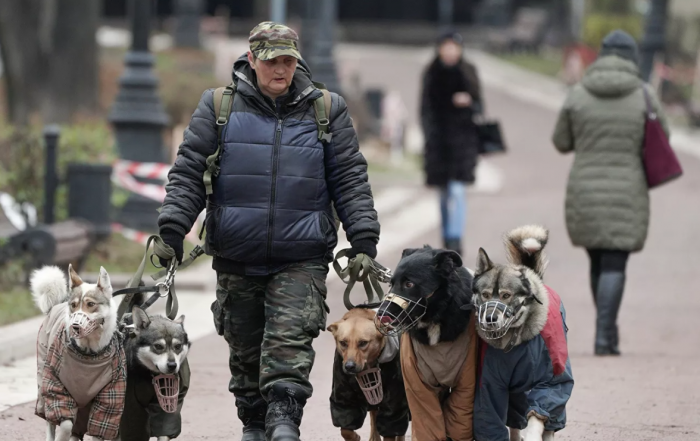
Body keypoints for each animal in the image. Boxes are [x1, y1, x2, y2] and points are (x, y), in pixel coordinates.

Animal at [31, 264, 124, 440]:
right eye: (73, 305)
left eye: (91, 304)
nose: (75, 326)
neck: (88, 354)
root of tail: (54, 306)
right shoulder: (56, 385)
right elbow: (65, 423)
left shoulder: (110, 395)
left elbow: (99, 428)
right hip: (43, 379)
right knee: (50, 421)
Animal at [328, 308, 410, 440]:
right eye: (343, 343)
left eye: (363, 343)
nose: (349, 366)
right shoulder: (344, 399)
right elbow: (345, 430)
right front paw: (355, 437)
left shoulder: (393, 404)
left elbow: (391, 430)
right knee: (374, 414)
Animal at [470, 227, 576, 440]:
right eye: (485, 295)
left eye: (506, 295)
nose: (490, 318)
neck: (512, 342)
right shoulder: (490, 385)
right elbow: (490, 418)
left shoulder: (550, 382)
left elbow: (539, 413)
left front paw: (534, 434)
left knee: (550, 422)